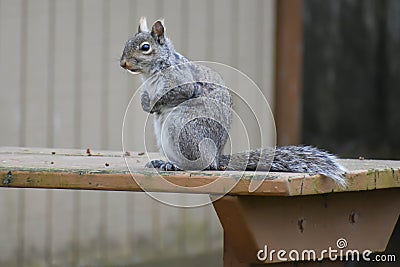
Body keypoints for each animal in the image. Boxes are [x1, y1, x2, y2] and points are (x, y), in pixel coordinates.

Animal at [119, 17, 346, 187]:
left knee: (203, 166)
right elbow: (146, 97)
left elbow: (178, 93)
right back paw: (163, 162)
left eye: (145, 47)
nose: (123, 63)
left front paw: (153, 105)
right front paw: (146, 104)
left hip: (184, 130)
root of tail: (217, 157)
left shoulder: (183, 81)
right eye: (127, 43)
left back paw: (177, 166)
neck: (150, 74)